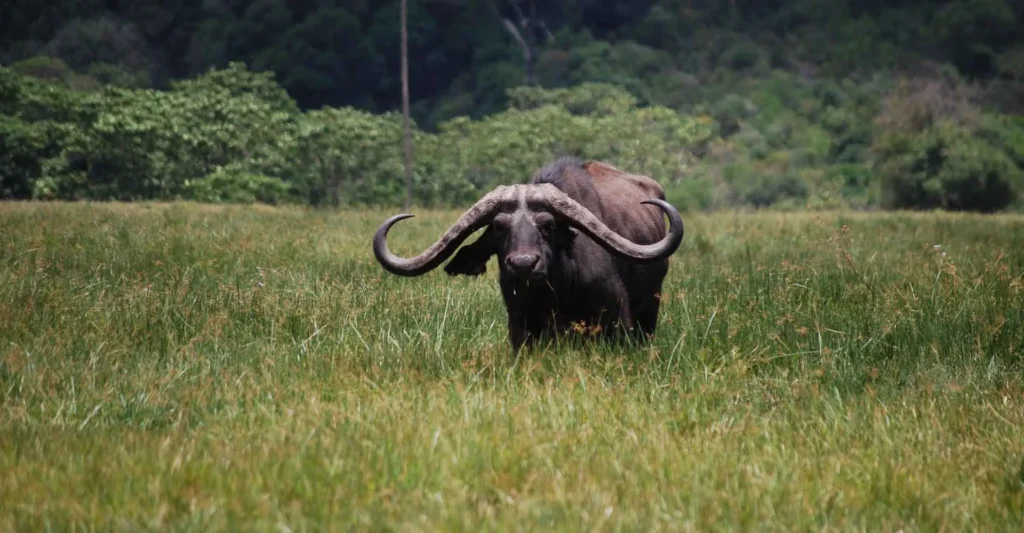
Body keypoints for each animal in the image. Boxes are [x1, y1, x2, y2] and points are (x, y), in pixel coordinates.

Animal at [372, 157, 684, 350]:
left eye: (548, 225)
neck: (557, 292)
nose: (523, 264)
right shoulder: (520, 325)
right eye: (499, 227)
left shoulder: (616, 317)